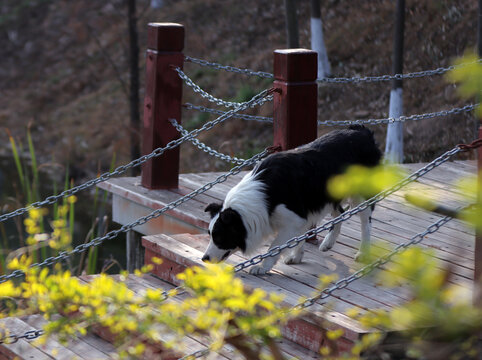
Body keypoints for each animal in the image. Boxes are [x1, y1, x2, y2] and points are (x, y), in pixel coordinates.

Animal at [202, 125, 380, 274]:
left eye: (219, 237)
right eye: (210, 234)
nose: (204, 259)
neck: (263, 197)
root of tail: (362, 131)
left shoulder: (294, 217)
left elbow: (275, 245)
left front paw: (263, 267)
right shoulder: (301, 215)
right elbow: (298, 236)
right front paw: (296, 256)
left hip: (361, 194)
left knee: (366, 221)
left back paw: (363, 252)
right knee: (340, 212)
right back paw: (328, 242)